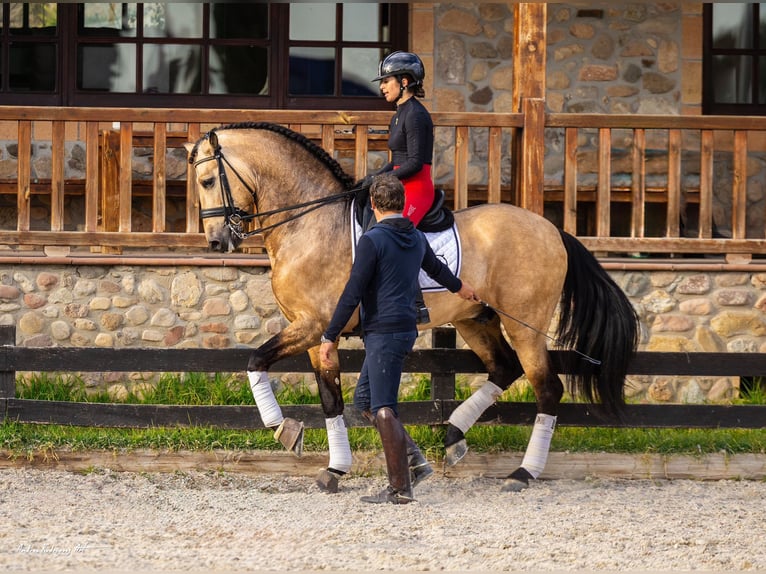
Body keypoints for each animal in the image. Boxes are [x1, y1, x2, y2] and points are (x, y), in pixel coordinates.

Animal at [186, 122, 640, 496]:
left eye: (207, 180)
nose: (217, 241)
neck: (307, 222)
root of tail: (553, 230)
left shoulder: (312, 325)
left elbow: (255, 360)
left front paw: (284, 429)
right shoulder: (315, 334)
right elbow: (331, 400)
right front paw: (335, 468)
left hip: (524, 326)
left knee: (547, 389)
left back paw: (522, 473)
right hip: (475, 318)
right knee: (503, 368)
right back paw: (454, 436)